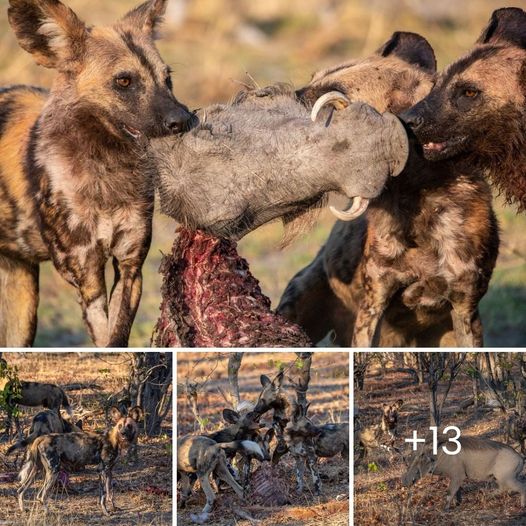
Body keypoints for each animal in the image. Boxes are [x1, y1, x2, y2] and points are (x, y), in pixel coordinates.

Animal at [0, 0, 194, 348]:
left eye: (167, 78)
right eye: (124, 81)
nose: (182, 120)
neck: (107, 172)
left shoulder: (130, 267)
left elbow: (117, 337)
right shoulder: (86, 275)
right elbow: (105, 339)